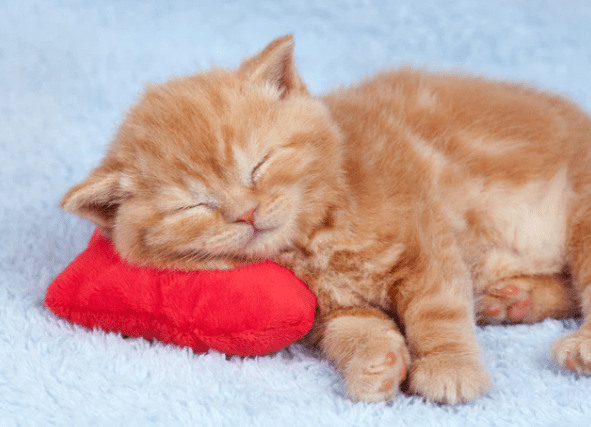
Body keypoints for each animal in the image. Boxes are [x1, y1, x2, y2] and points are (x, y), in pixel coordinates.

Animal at [60, 34, 588, 404]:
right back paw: (513, 300)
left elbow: (437, 312)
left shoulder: (429, 242)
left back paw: (574, 344)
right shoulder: (329, 308)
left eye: (260, 164)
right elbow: (355, 331)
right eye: (195, 206)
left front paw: (449, 371)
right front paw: (377, 364)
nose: (246, 213)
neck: (318, 235)